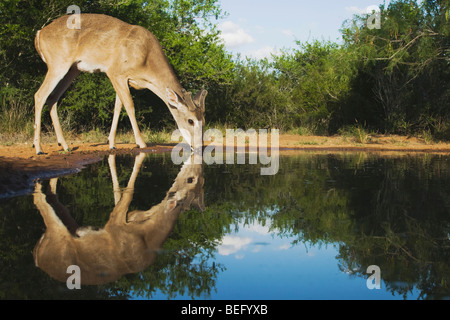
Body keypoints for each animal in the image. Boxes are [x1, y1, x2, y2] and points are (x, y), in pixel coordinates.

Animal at [32, 154, 205, 286]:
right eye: (191, 179)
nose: (194, 158)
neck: (148, 235)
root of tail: (37, 258)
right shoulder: (115, 225)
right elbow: (128, 192)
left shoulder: (133, 215)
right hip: (57, 233)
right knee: (40, 200)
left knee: (52, 197)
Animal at [33, 13, 207, 155]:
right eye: (190, 120)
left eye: (204, 121)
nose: (200, 147)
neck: (146, 60)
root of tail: (39, 34)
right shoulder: (115, 72)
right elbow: (129, 105)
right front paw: (141, 143)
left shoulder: (124, 79)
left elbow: (118, 107)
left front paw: (111, 143)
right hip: (58, 63)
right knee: (40, 95)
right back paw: (39, 148)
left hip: (73, 69)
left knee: (52, 98)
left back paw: (64, 145)